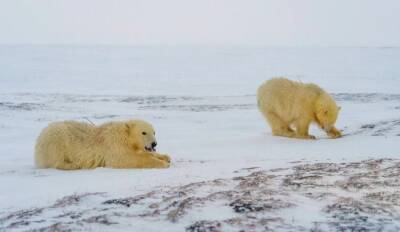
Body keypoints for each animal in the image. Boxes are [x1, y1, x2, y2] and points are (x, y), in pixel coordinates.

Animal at [34, 118, 170, 169]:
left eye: (154, 132)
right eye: (143, 132)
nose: (154, 144)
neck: (124, 134)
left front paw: (165, 157)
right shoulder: (114, 144)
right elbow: (126, 159)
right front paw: (163, 163)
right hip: (56, 140)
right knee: (56, 160)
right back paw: (73, 165)